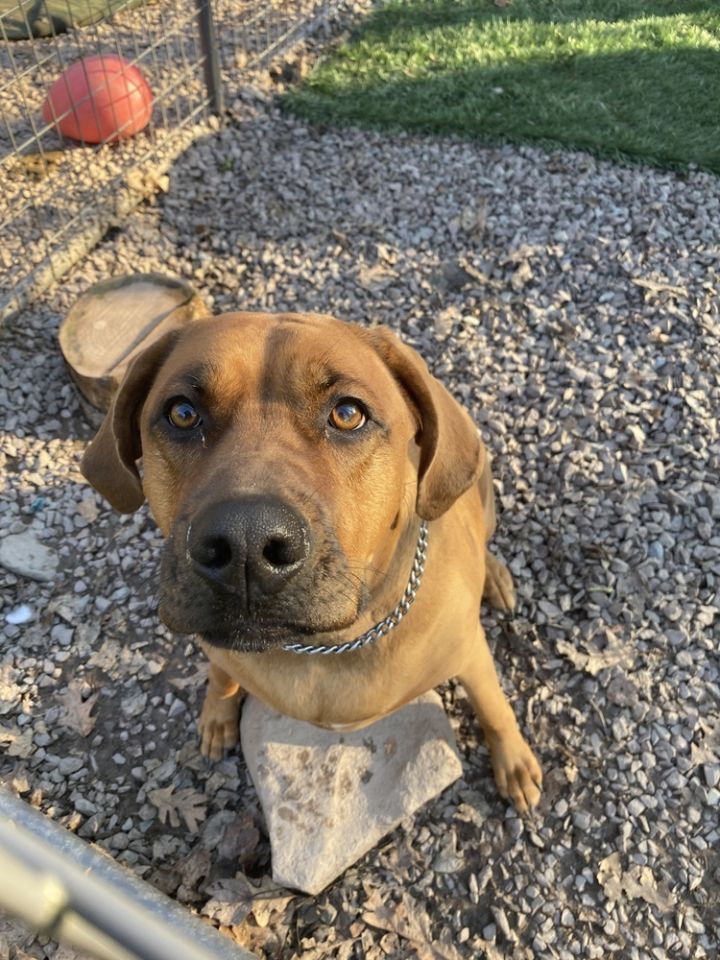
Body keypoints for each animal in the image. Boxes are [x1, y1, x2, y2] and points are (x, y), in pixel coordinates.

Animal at [80, 314, 540, 808]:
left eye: (348, 414)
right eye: (181, 413)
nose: (246, 544)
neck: (331, 646)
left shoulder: (470, 654)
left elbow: (494, 708)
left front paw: (513, 762)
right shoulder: (217, 646)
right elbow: (221, 675)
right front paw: (218, 714)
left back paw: (494, 577)